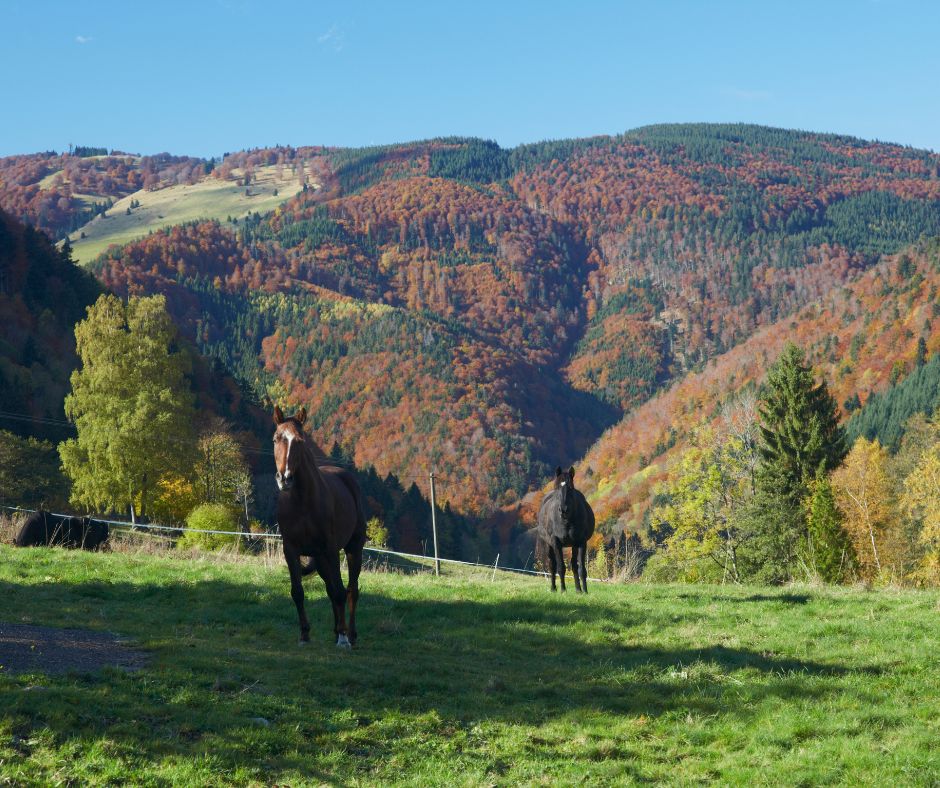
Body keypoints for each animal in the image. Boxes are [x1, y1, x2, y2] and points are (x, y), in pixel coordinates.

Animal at [272, 406, 368, 648]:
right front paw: (304, 634)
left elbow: (341, 592)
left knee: (351, 590)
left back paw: (350, 634)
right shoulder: (291, 550)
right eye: (276, 438)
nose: (285, 478)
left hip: (353, 550)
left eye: (299, 440)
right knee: (331, 589)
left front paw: (343, 637)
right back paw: (336, 631)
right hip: (322, 559)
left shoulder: (331, 550)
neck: (302, 501)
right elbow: (298, 592)